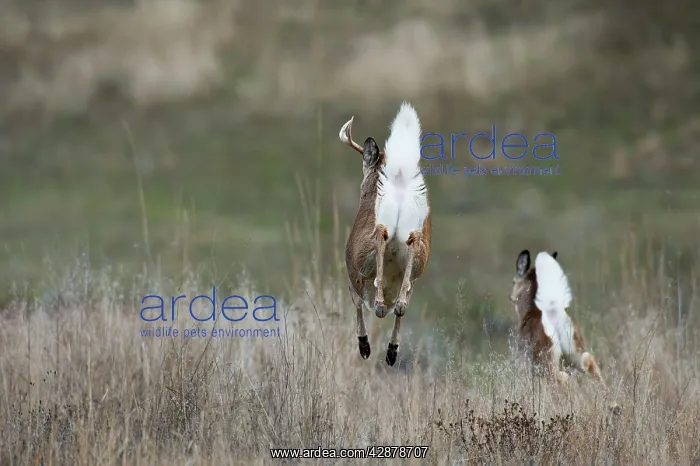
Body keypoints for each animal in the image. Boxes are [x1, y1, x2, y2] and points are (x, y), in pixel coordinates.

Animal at [338, 102, 431, 367]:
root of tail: (398, 178)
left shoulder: (353, 279)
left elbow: (357, 305)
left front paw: (365, 346)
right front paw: (391, 350)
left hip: (368, 249)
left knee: (381, 237)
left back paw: (380, 307)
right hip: (420, 244)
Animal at [509, 249, 602, 387]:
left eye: (513, 281)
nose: (511, 297)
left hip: (549, 364)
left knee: (561, 378)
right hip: (576, 355)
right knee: (590, 363)